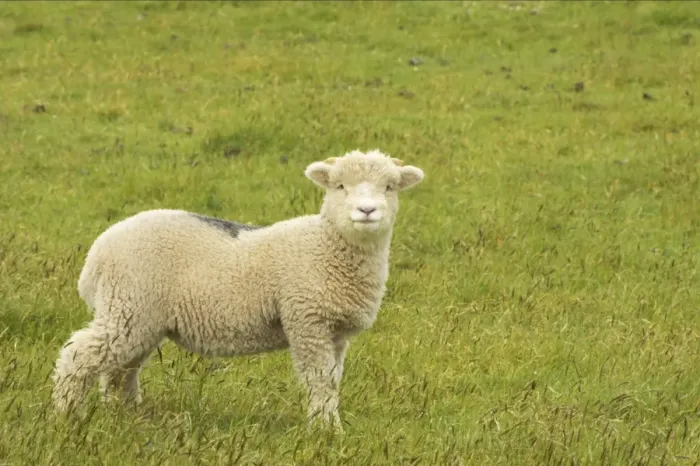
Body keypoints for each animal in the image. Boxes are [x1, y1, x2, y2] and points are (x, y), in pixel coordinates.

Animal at [51, 149, 425, 430]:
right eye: (340, 186)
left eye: (390, 187)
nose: (367, 211)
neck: (326, 247)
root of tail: (96, 255)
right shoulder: (308, 321)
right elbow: (318, 379)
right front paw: (324, 429)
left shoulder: (336, 332)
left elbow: (332, 381)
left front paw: (329, 424)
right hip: (128, 306)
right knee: (78, 354)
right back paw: (66, 413)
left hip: (140, 318)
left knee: (120, 371)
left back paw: (126, 414)